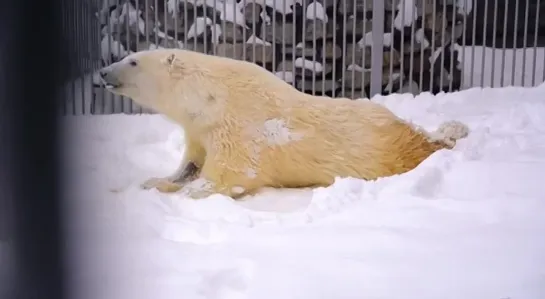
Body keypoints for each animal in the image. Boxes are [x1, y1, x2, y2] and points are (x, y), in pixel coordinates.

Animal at [98, 48, 468, 200]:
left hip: (386, 145)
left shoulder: (237, 127)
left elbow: (231, 173)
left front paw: (192, 190)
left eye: (132, 61)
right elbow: (189, 164)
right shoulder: (200, 130)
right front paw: (152, 182)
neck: (209, 97)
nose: (102, 72)